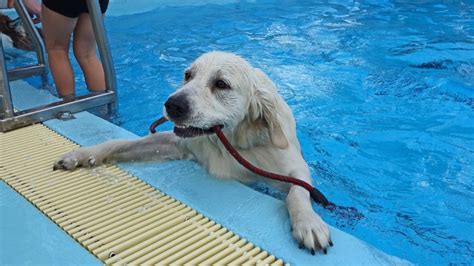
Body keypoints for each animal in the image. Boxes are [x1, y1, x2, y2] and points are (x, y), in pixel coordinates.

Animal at [53, 51, 332, 254]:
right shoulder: (176, 143)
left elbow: (298, 192)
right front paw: (83, 155)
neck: (229, 142)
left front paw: (308, 222)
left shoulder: (292, 167)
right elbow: (118, 142)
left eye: (221, 84)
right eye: (188, 75)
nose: (172, 105)